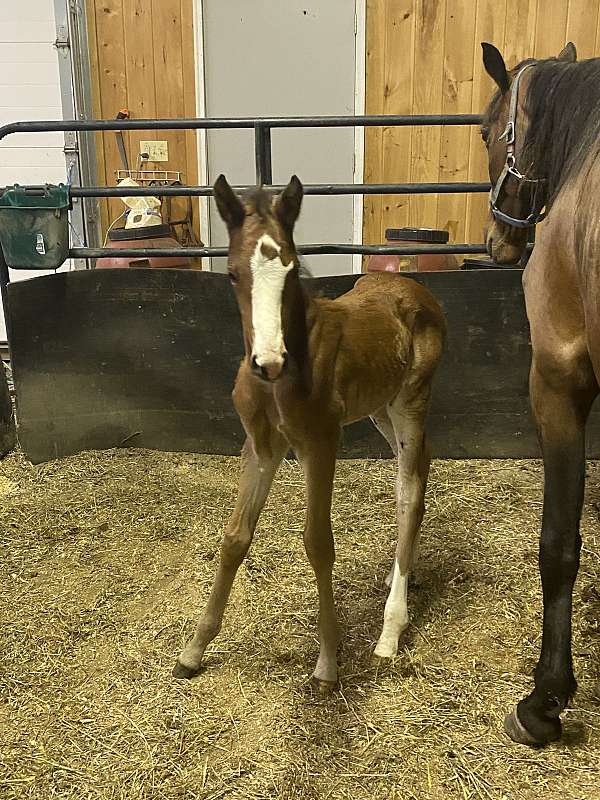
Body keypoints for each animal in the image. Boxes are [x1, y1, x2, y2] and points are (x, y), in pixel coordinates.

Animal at [173, 175, 446, 690]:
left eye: (291, 269)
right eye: (233, 274)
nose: (268, 361)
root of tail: (411, 284)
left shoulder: (320, 442)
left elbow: (318, 542)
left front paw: (327, 663)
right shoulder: (261, 445)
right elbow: (235, 537)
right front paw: (193, 651)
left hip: (411, 401)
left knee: (411, 491)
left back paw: (391, 628)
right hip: (379, 408)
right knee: (414, 474)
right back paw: (402, 575)